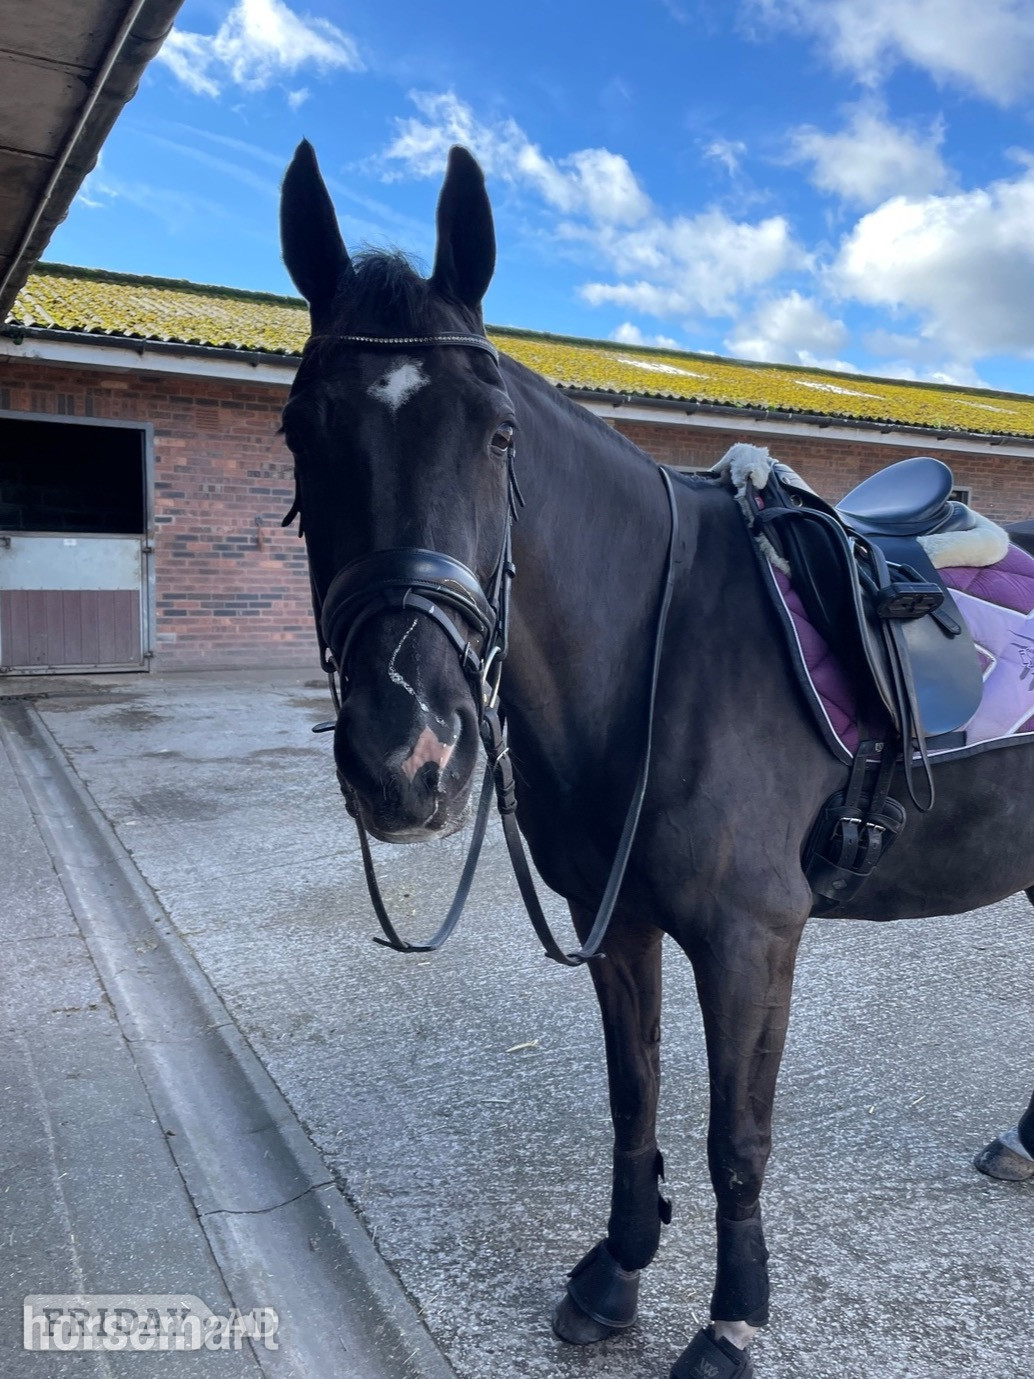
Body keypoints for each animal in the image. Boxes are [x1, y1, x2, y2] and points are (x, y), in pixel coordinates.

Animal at [278, 140, 1034, 1379]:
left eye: (497, 433)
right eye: (301, 429)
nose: (408, 755)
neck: (658, 652)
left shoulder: (749, 937)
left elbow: (735, 1137)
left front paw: (731, 1317)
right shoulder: (615, 918)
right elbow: (632, 1097)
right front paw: (615, 1268)